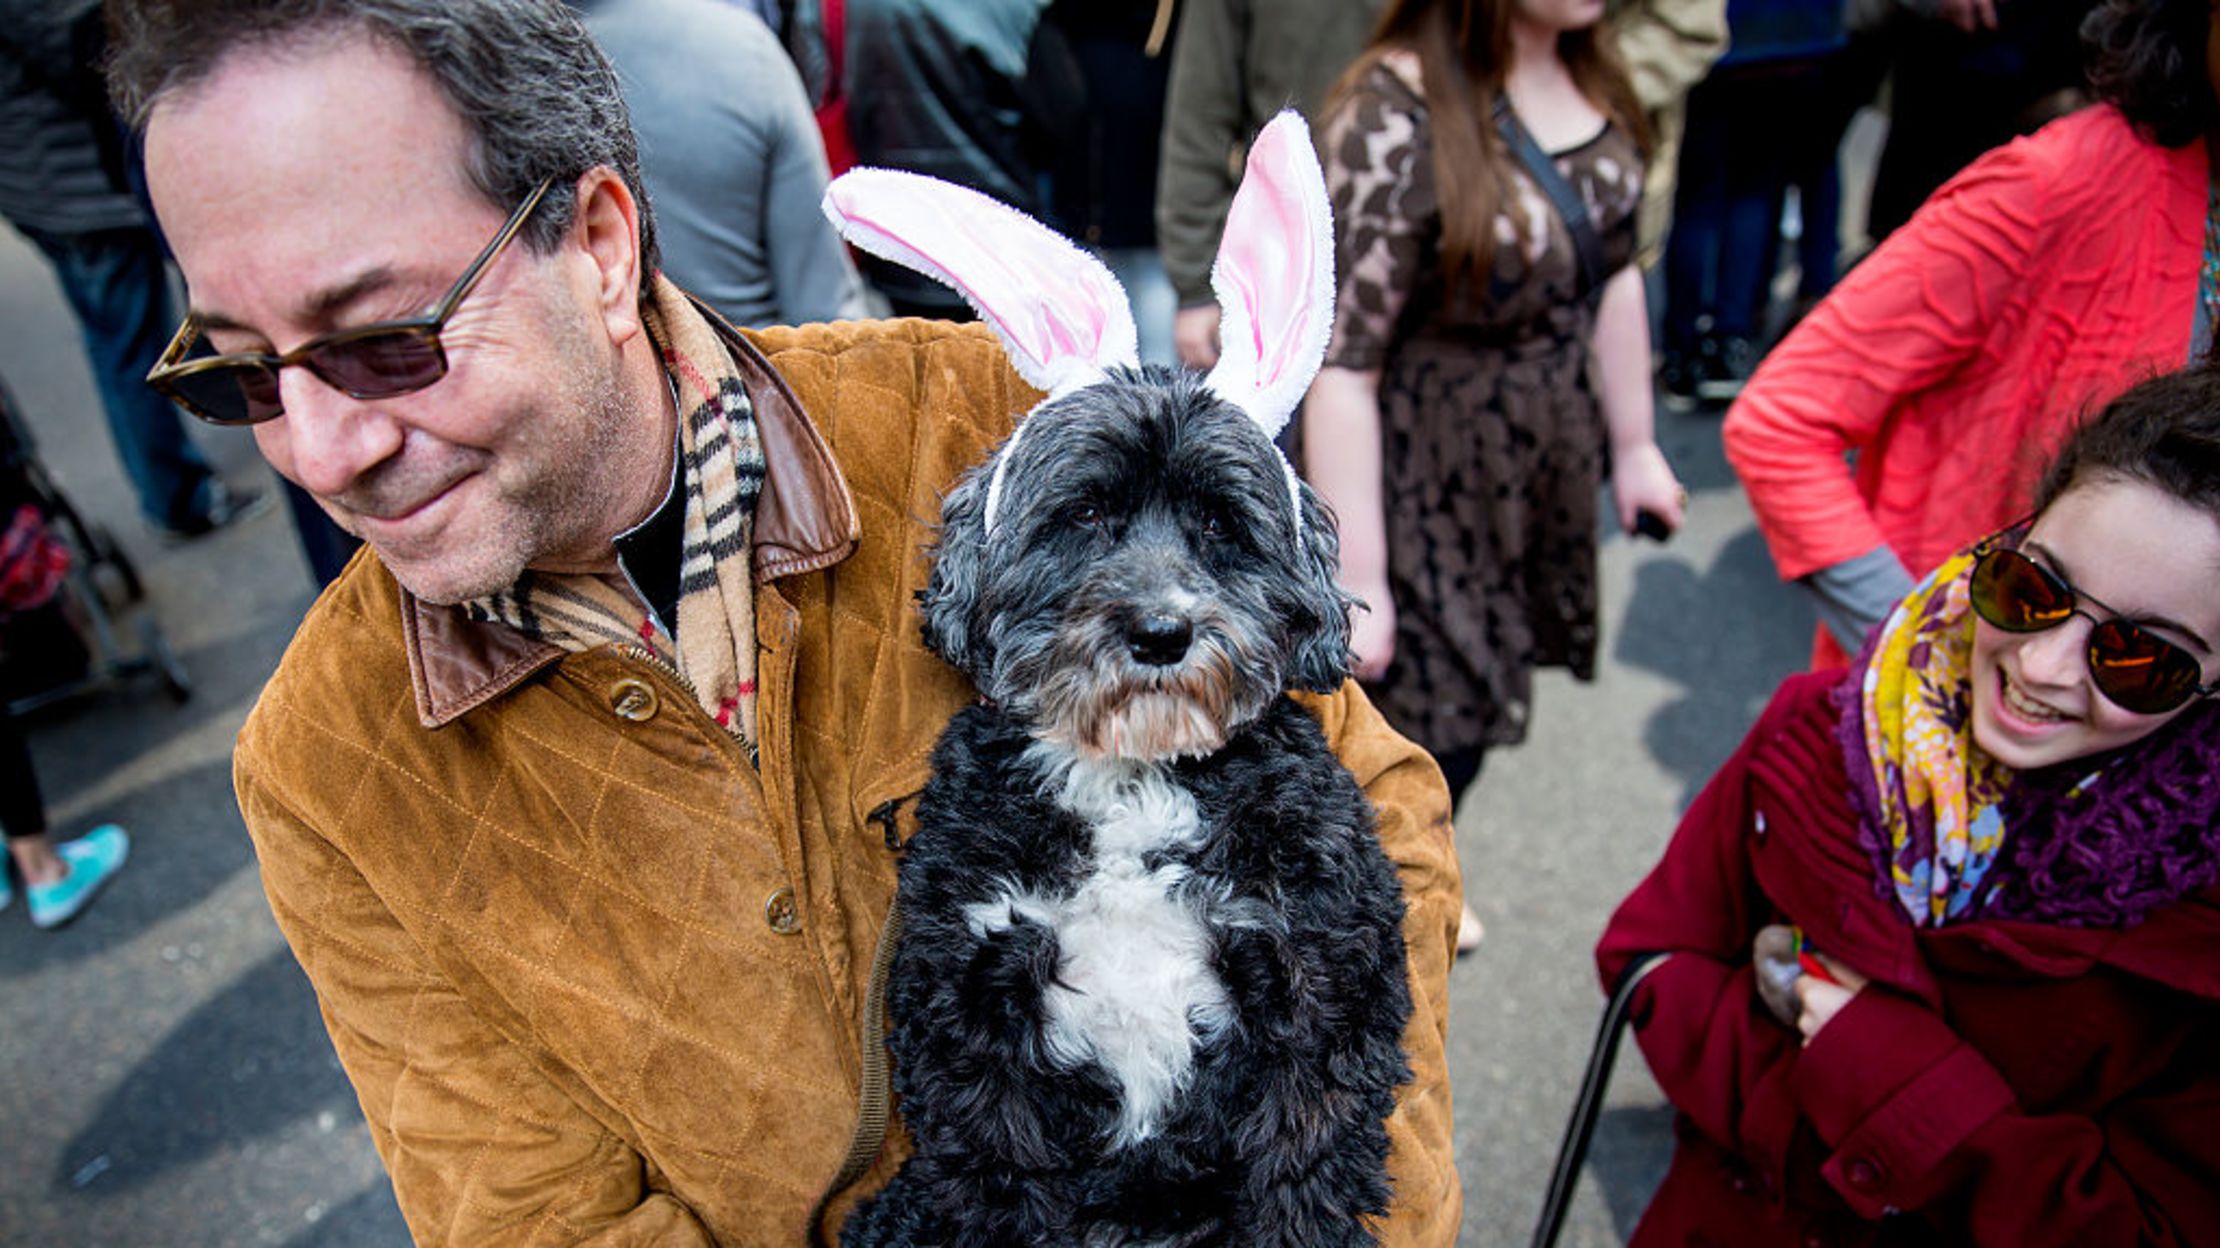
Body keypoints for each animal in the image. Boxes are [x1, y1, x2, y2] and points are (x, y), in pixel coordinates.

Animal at [825, 111, 1411, 1234]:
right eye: (1088, 511)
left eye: (1221, 524)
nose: (1160, 631)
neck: (1135, 775)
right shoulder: (977, 1002)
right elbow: (992, 1179)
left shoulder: (1317, 989)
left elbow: (1301, 1177)